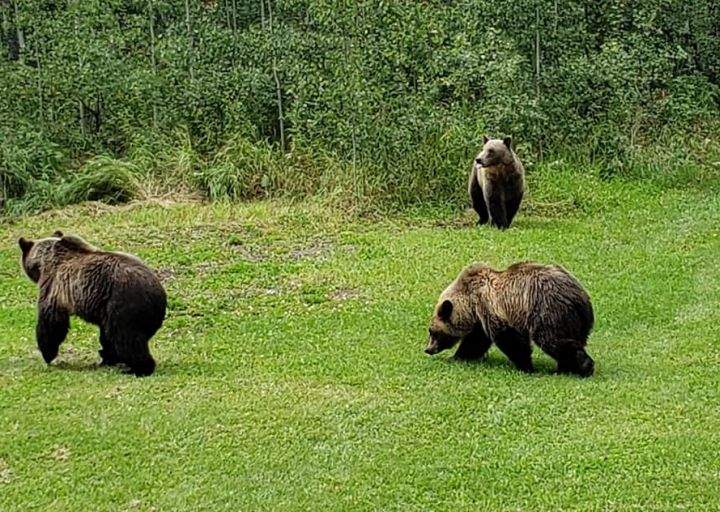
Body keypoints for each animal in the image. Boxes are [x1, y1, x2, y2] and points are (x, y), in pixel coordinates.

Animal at [18, 231, 166, 377]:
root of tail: (158, 295)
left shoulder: (54, 287)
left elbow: (51, 322)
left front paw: (48, 354)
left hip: (123, 304)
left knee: (127, 338)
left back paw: (139, 368)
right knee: (114, 336)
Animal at [425, 261, 595, 377]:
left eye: (432, 332)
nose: (428, 349)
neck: (471, 304)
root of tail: (580, 297)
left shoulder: (493, 310)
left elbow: (511, 341)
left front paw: (526, 366)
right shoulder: (481, 321)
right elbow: (475, 342)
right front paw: (457, 357)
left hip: (547, 310)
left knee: (552, 340)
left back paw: (584, 366)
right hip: (576, 321)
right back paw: (564, 368)